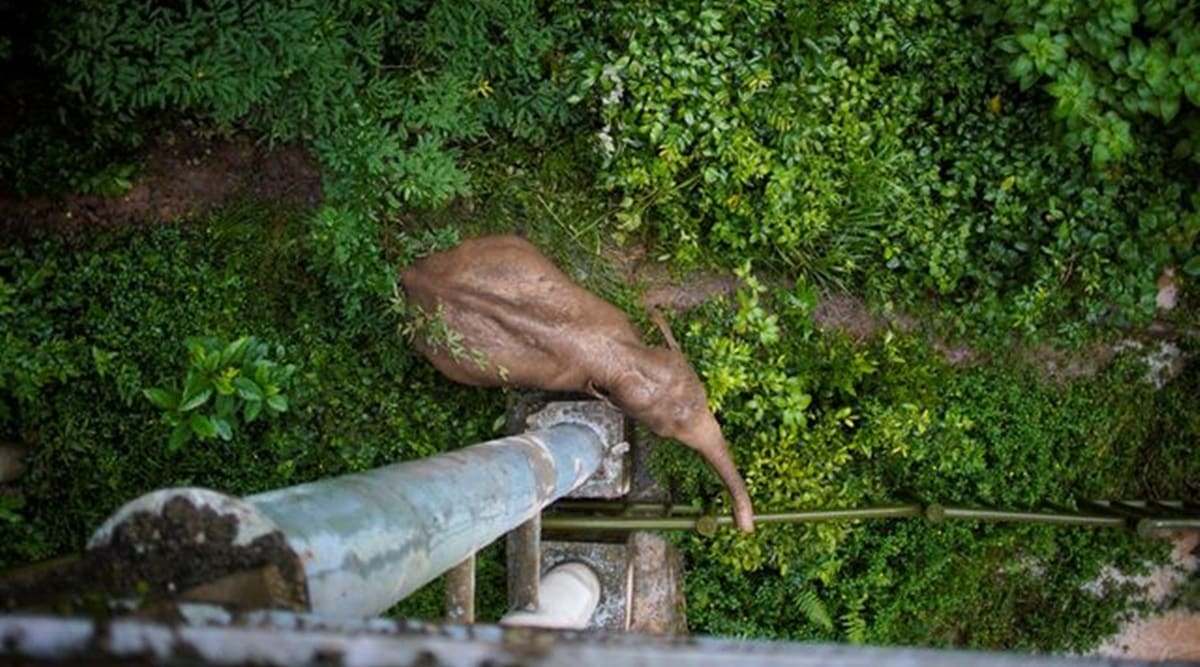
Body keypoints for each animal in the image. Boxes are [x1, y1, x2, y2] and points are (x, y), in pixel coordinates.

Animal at [403, 233, 758, 532]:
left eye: (707, 397)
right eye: (663, 432)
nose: (742, 527)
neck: (622, 357)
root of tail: (410, 274)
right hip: (447, 360)